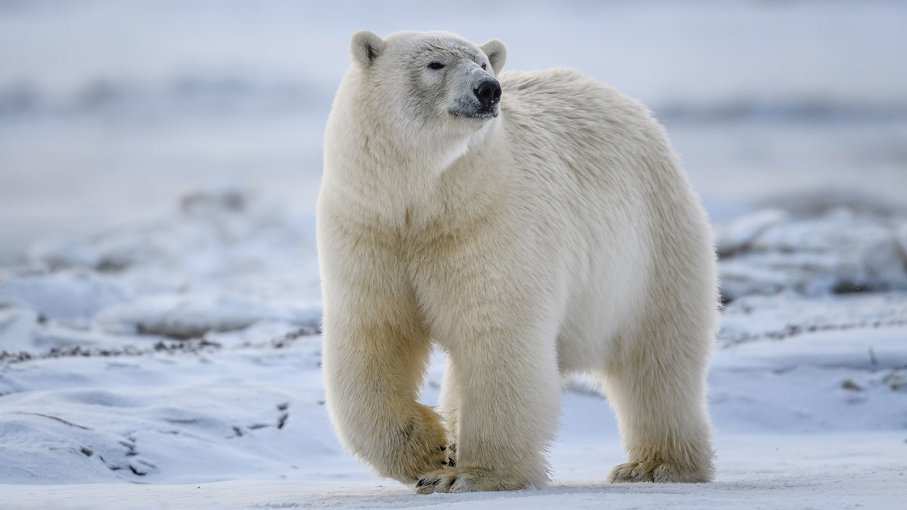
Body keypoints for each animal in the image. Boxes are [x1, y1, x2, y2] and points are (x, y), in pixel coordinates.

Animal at [317, 30, 717, 493]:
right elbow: (374, 336)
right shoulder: (370, 230)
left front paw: (473, 474)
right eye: (435, 64)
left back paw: (655, 465)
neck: (423, 203)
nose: (488, 90)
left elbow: (496, 334)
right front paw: (432, 453)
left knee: (657, 360)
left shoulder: (487, 222)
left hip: (650, 247)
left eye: (482, 63)